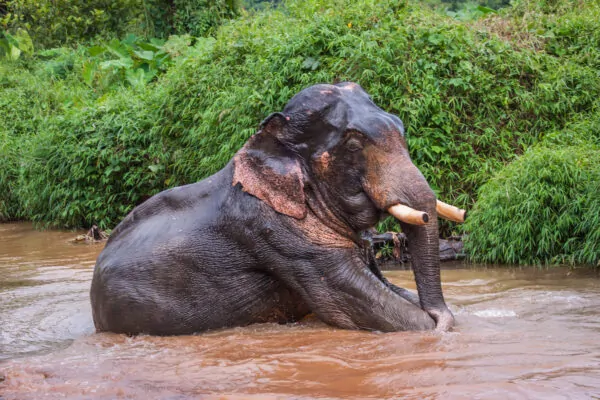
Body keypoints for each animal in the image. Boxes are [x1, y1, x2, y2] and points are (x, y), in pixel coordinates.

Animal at [88, 83, 454, 336]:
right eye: (353, 145)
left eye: (400, 126)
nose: (438, 313)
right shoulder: (280, 235)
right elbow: (361, 304)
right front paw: (437, 326)